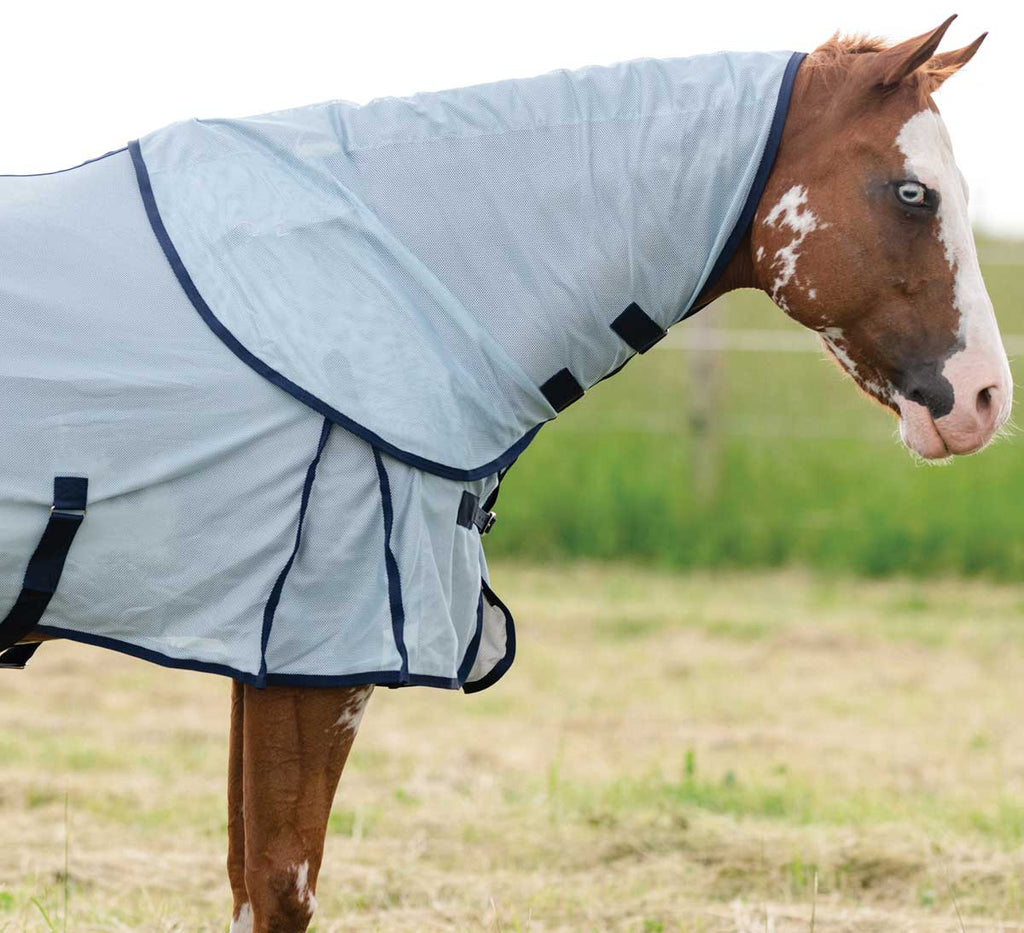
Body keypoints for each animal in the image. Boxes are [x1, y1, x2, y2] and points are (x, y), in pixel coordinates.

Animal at [1, 16, 1010, 931]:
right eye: (914, 193)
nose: (986, 398)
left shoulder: (266, 648)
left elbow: (249, 878)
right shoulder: (318, 654)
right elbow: (282, 887)